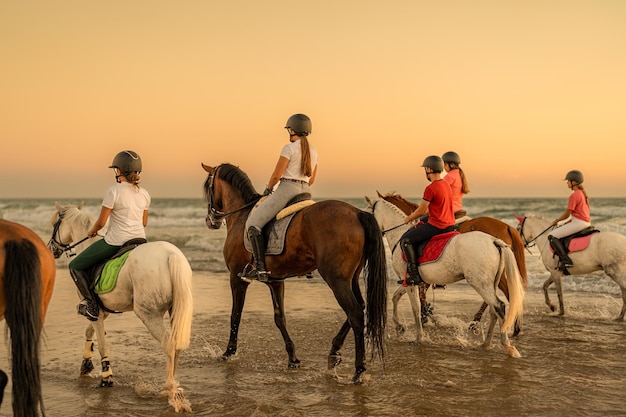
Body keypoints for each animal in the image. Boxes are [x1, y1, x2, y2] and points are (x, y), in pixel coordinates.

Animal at [47, 202, 194, 412]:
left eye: (55, 225)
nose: (52, 248)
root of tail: (171, 255)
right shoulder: (101, 310)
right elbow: (90, 331)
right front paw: (86, 364)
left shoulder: (96, 311)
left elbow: (101, 343)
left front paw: (106, 377)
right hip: (176, 310)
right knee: (177, 345)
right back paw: (174, 385)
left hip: (148, 313)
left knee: (168, 343)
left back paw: (169, 388)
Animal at [201, 161, 386, 382]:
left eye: (208, 188)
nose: (210, 221)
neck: (241, 217)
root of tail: (357, 213)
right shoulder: (275, 281)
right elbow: (280, 318)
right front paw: (293, 358)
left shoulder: (237, 278)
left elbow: (235, 315)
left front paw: (228, 352)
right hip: (352, 278)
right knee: (360, 308)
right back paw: (334, 354)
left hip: (336, 279)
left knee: (355, 313)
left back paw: (358, 371)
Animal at [366, 198, 520, 358]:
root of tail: (494, 241)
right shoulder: (409, 282)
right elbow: (396, 297)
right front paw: (399, 327)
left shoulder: (411, 284)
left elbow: (415, 308)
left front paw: (418, 337)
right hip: (491, 284)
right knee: (493, 310)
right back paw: (486, 343)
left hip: (480, 283)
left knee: (499, 306)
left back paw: (507, 345)